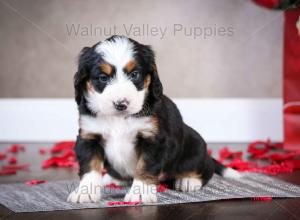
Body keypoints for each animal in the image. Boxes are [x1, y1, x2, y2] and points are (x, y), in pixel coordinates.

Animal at [67, 35, 240, 204]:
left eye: (134, 74)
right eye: (103, 77)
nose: (121, 104)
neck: (119, 118)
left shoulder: (154, 139)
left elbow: (145, 167)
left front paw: (140, 193)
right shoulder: (89, 137)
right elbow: (90, 167)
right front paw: (85, 192)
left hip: (196, 145)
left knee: (206, 169)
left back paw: (188, 181)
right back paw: (111, 179)